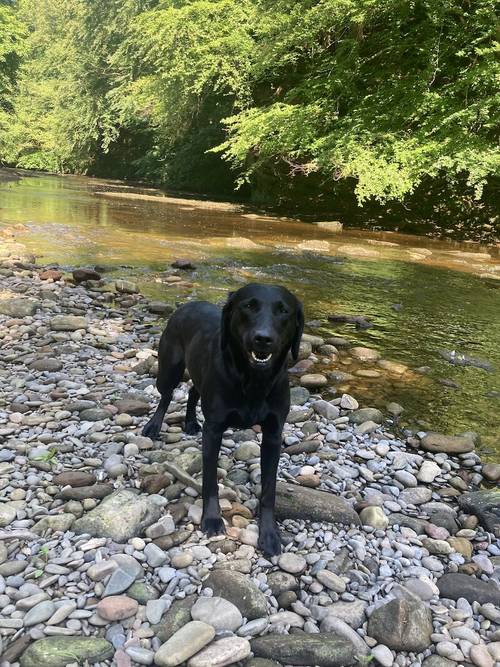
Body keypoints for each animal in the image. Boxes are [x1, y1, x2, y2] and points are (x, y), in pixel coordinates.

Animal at [142, 284, 304, 556]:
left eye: (284, 311)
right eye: (248, 306)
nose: (263, 338)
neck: (253, 380)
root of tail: (188, 304)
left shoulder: (273, 435)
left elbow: (269, 490)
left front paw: (269, 534)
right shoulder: (214, 430)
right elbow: (209, 481)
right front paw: (211, 519)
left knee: (193, 391)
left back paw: (190, 422)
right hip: (169, 368)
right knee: (166, 396)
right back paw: (154, 425)